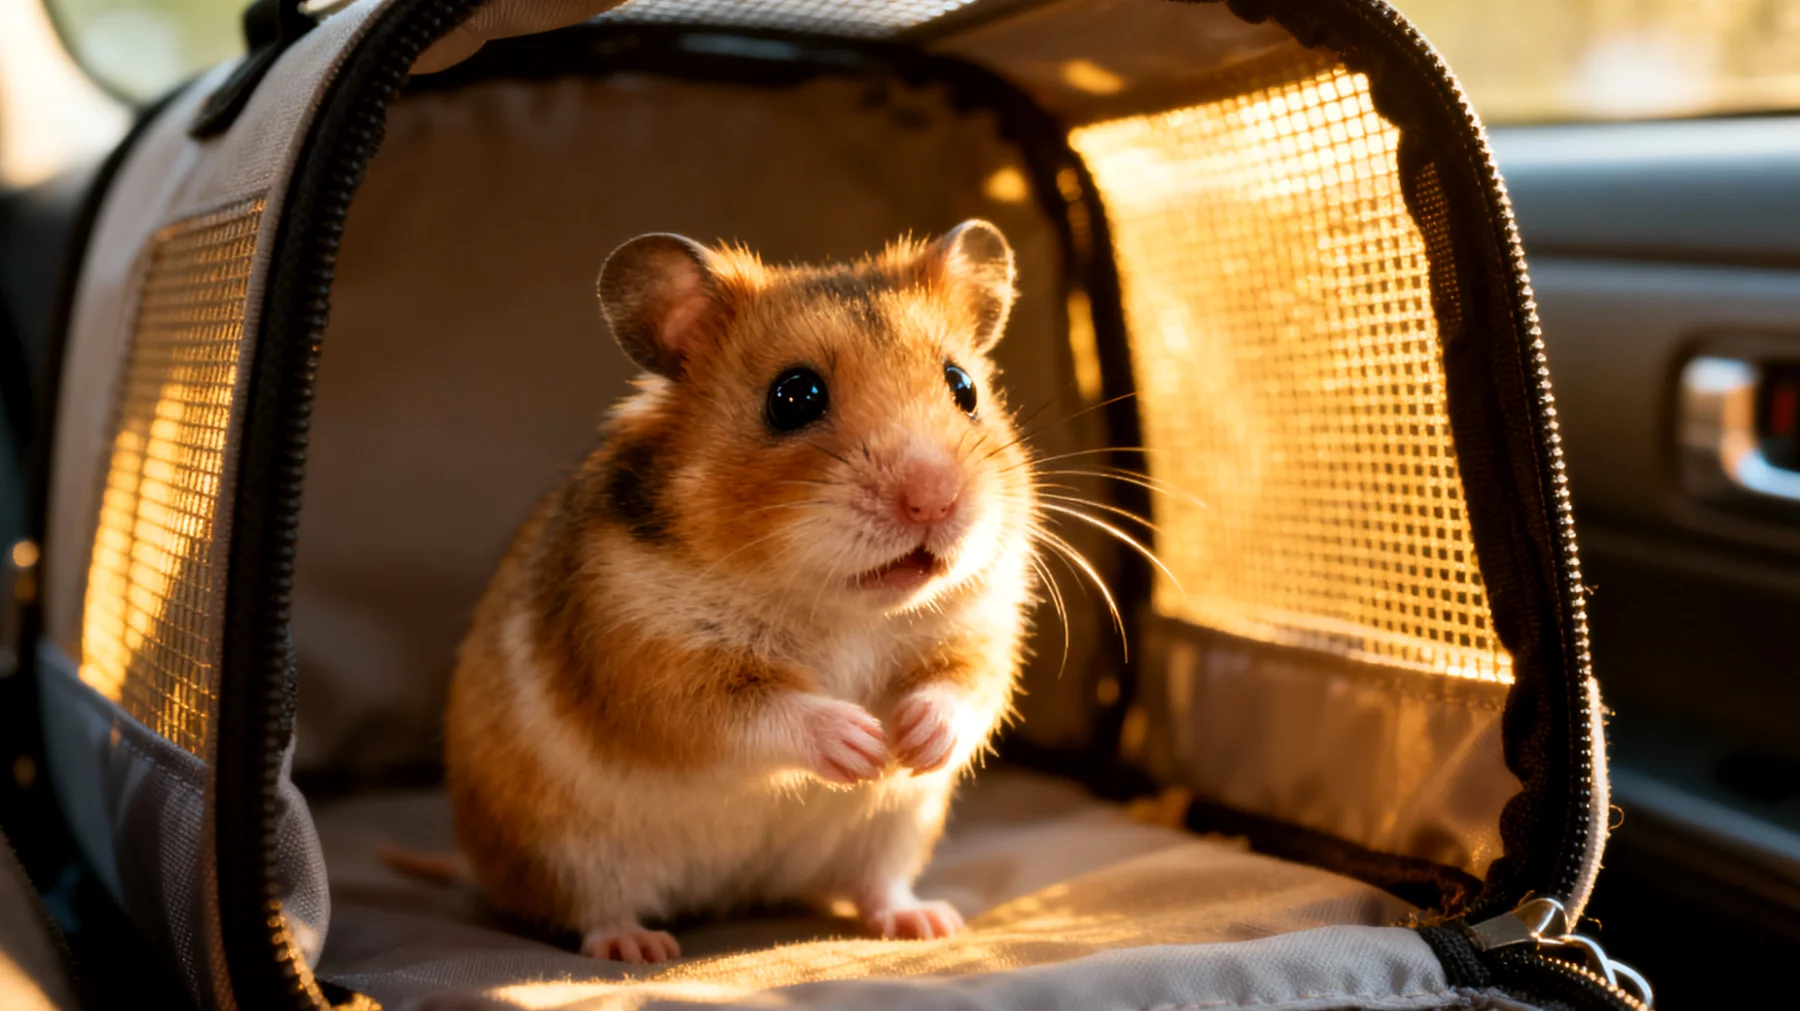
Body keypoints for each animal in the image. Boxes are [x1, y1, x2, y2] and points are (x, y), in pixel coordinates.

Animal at [443, 220, 1037, 963]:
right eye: (794, 396)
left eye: (963, 387)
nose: (934, 498)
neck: (837, 605)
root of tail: (734, 891)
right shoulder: (651, 666)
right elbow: (758, 711)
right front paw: (863, 745)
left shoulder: (982, 634)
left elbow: (963, 691)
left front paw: (910, 741)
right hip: (565, 850)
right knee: (595, 909)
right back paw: (641, 947)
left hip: (895, 833)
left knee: (876, 885)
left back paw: (926, 921)